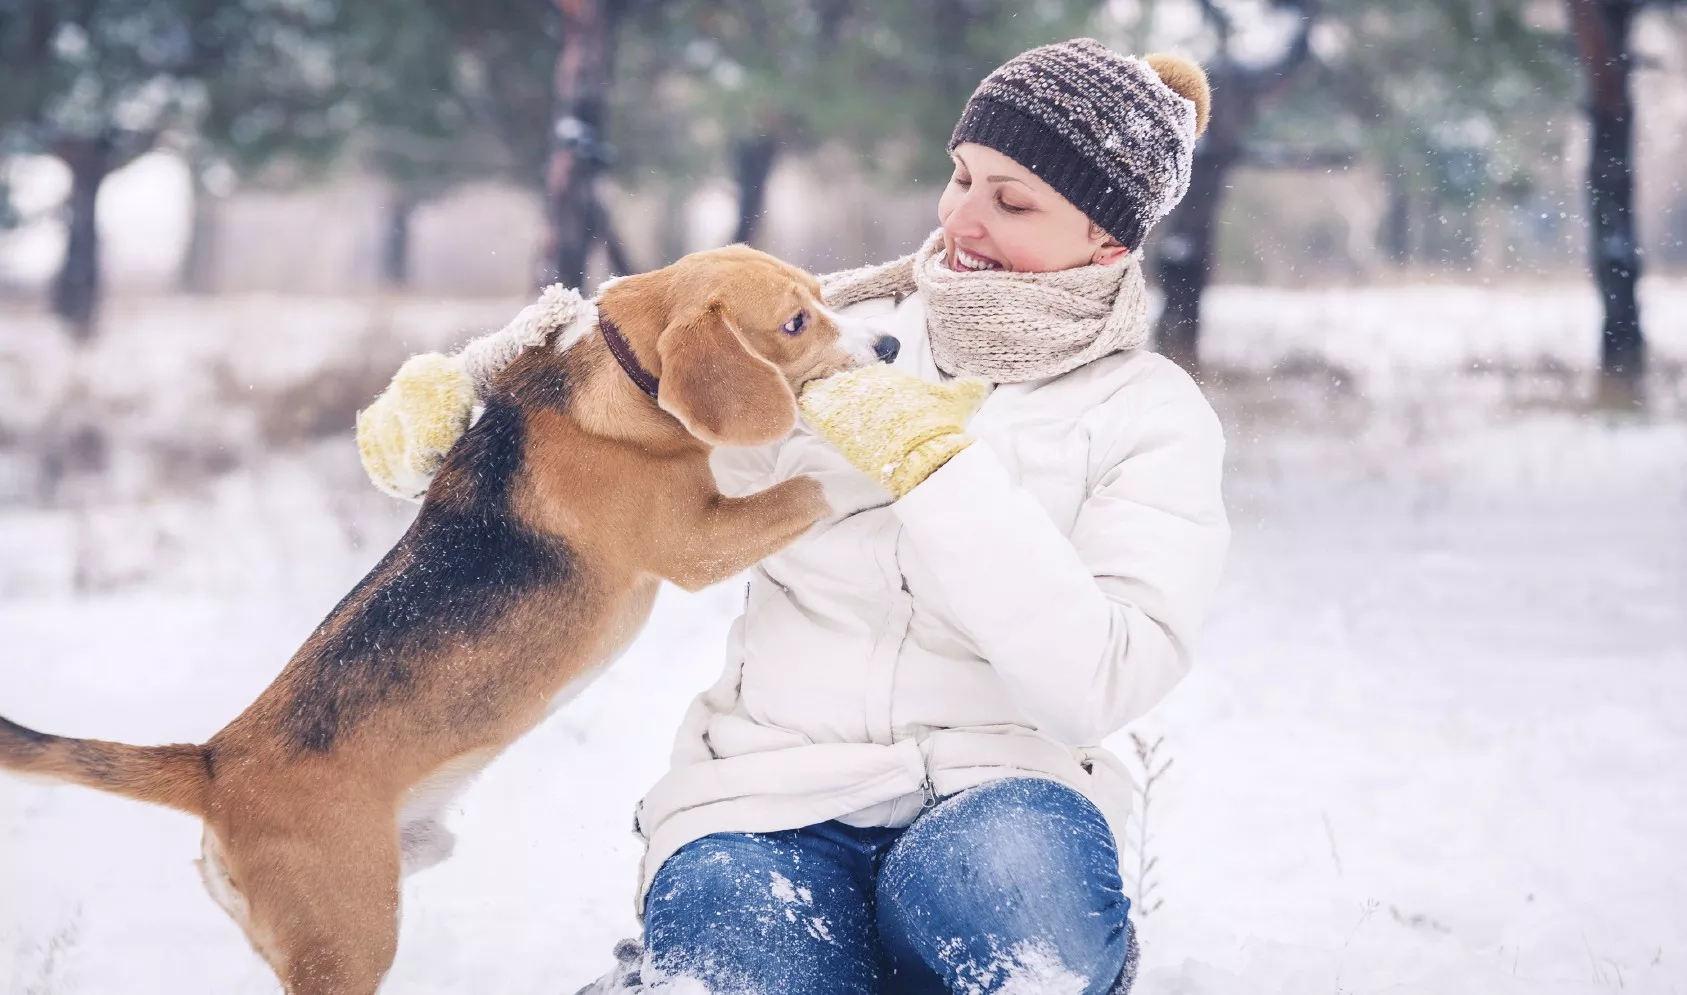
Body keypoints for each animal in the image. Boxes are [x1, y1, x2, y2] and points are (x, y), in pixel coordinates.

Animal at [0, 246, 897, 995]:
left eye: (823, 296)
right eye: (794, 322)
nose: (890, 346)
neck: (615, 374)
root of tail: (215, 761)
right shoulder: (699, 544)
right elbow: (812, 483)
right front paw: (881, 459)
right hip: (348, 943)